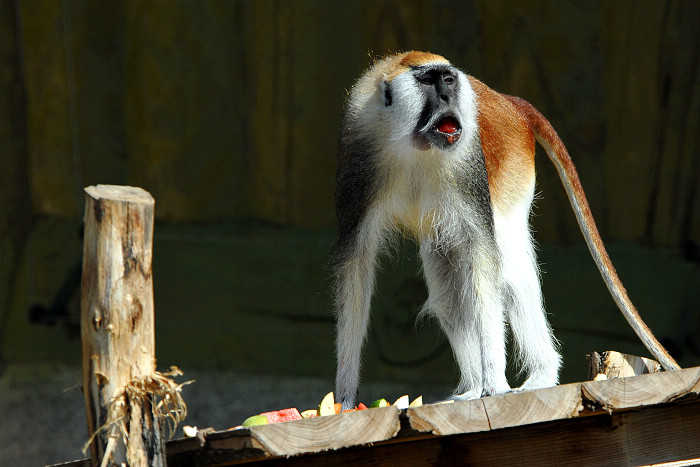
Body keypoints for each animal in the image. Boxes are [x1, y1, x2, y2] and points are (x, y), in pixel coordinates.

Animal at [332, 50, 680, 410]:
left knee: (510, 270)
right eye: (428, 81)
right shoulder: (360, 152)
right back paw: (473, 386)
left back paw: (541, 373)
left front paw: (495, 383)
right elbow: (356, 263)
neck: (415, 146)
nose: (447, 94)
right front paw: (344, 397)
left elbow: (485, 255)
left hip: (511, 165)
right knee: (449, 289)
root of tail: (507, 101)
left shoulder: (469, 167)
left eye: (448, 79)